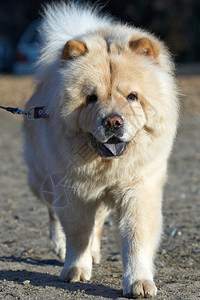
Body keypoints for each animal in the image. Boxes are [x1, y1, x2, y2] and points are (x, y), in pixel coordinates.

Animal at [22, 1, 179, 298]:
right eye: (91, 98)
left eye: (132, 96)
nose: (113, 121)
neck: (106, 166)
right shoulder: (73, 189)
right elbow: (77, 232)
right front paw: (74, 269)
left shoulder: (139, 187)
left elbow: (136, 236)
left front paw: (139, 282)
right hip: (43, 179)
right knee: (53, 213)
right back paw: (60, 247)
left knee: (97, 222)